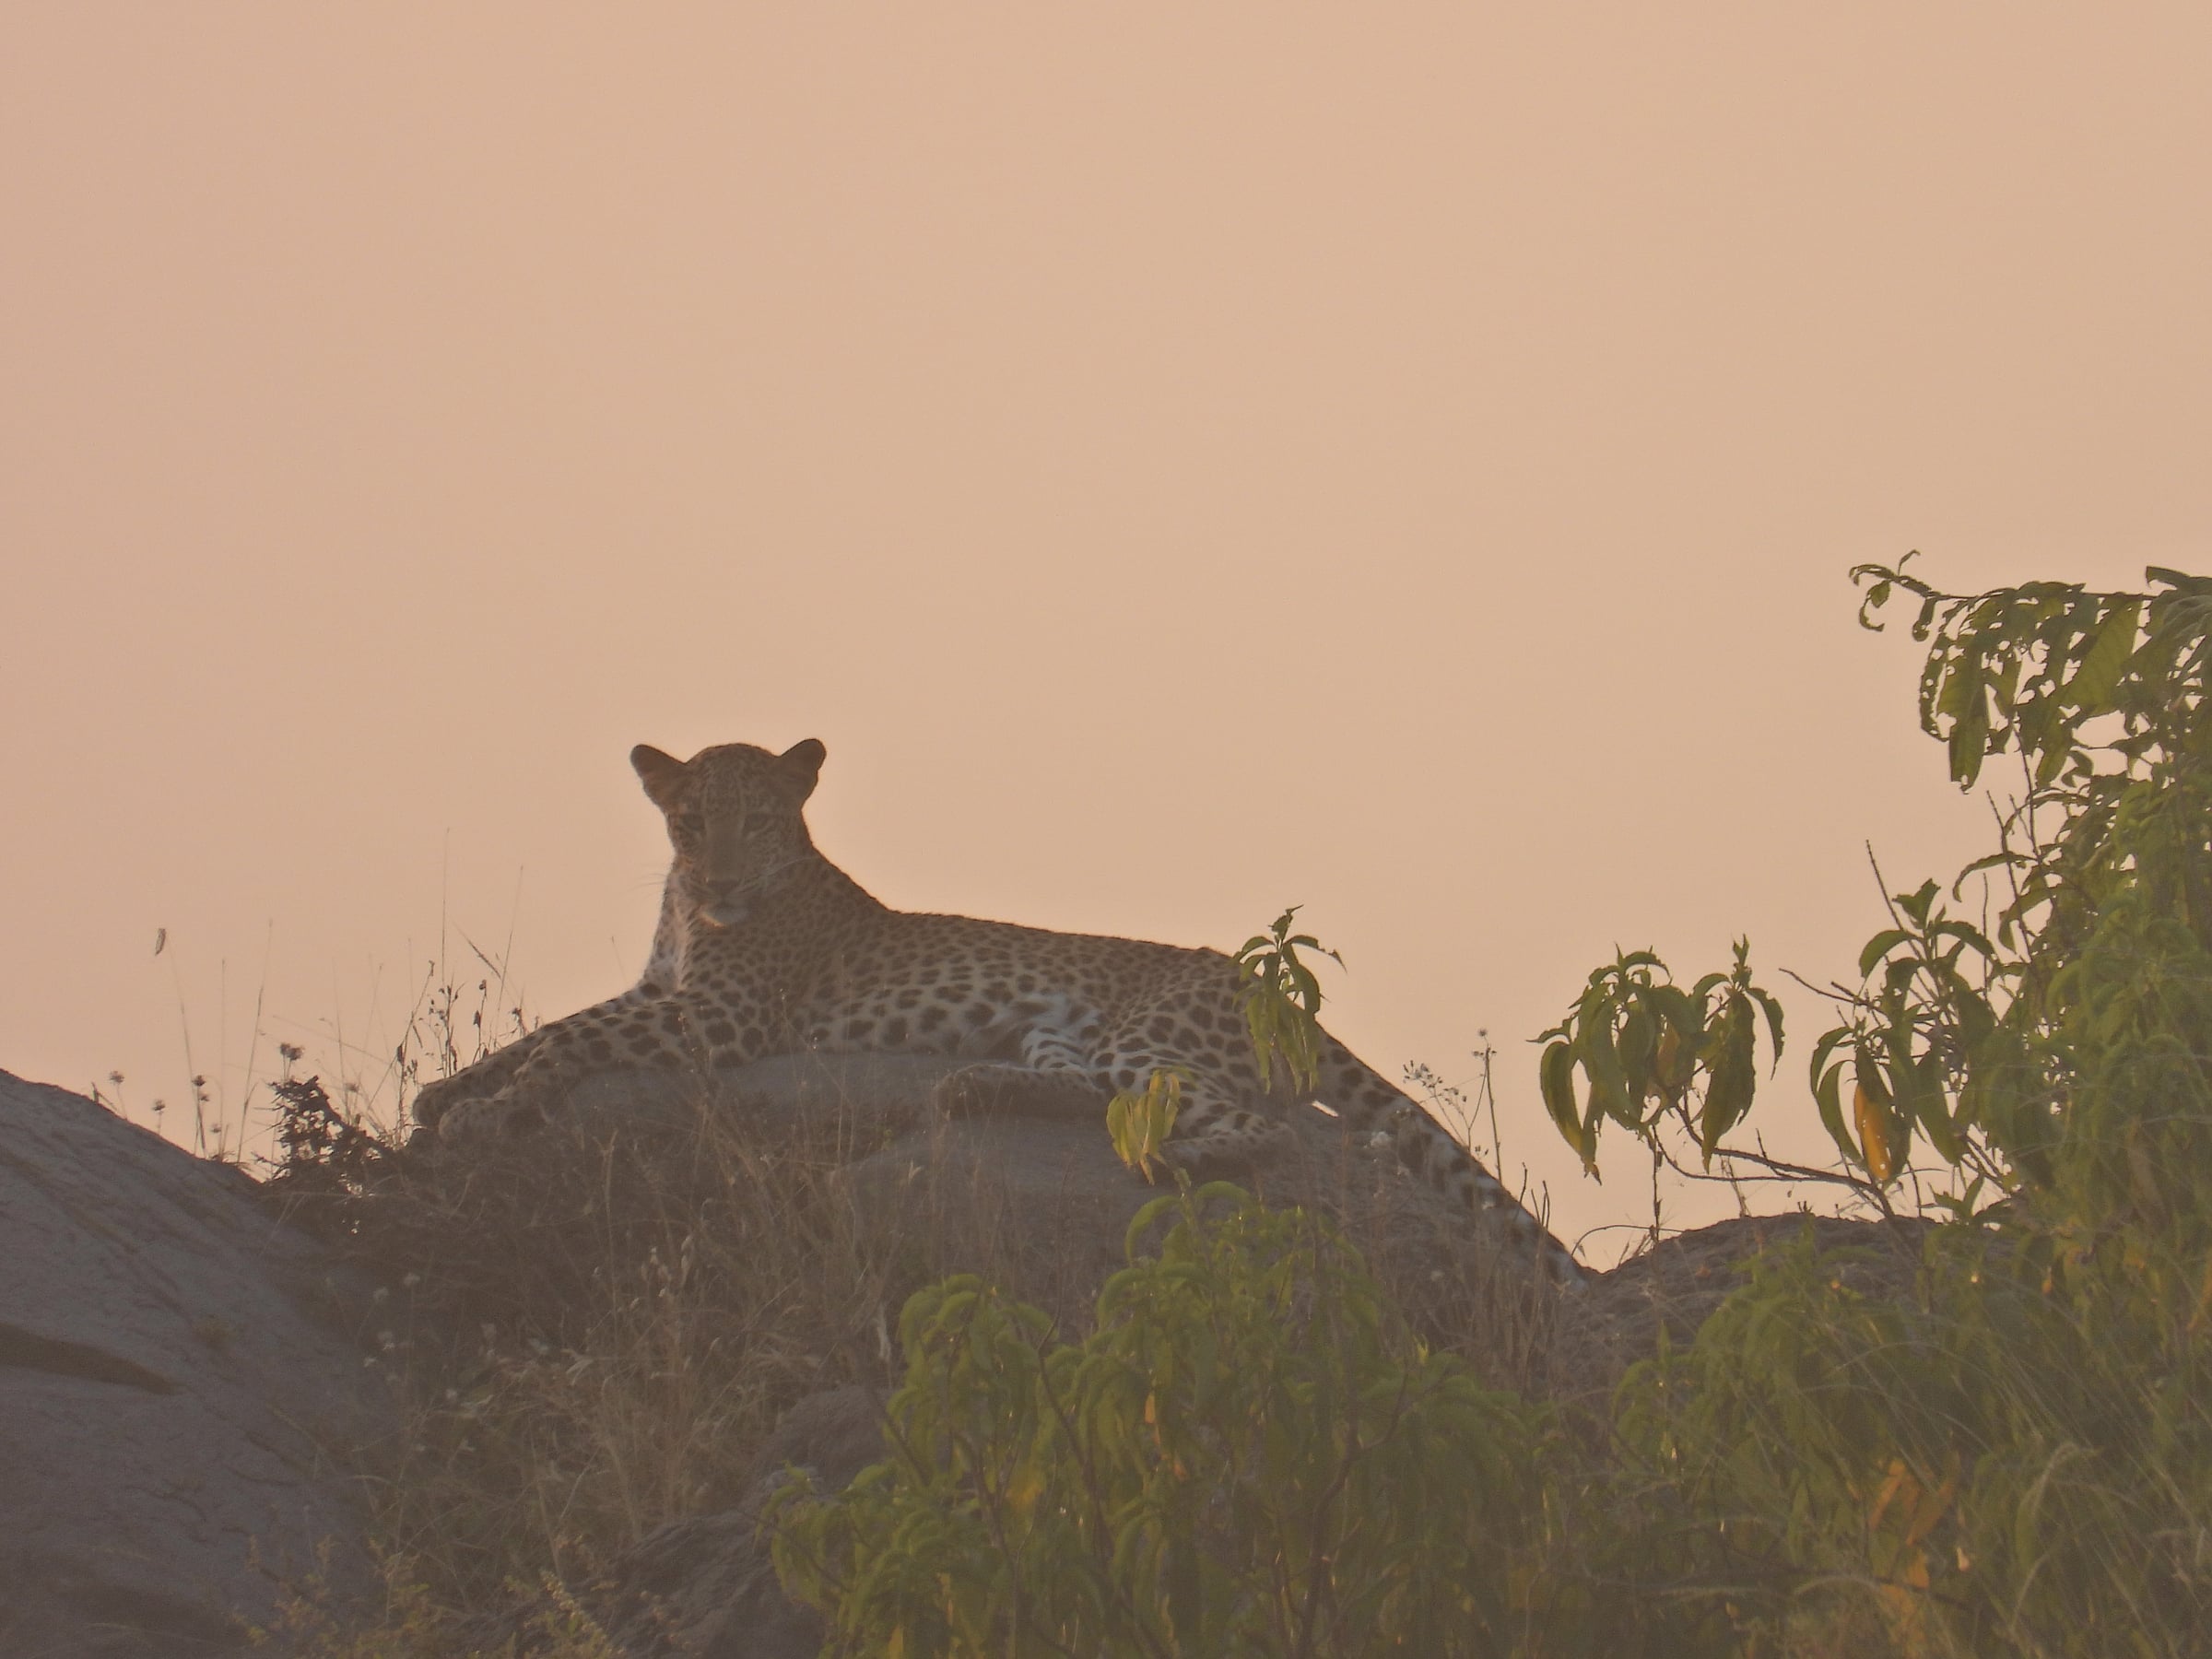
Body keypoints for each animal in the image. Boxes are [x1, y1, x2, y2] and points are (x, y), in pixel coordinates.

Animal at [411, 739, 1585, 1285]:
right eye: (690, 821)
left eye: (760, 820)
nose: (722, 883)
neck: (683, 910)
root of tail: (1263, 981)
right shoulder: (661, 993)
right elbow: (544, 1027)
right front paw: (445, 1092)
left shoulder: (722, 1019)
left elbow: (567, 1038)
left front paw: (482, 1116)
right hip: (1067, 1030)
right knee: (1080, 1088)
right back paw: (970, 1086)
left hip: (1148, 1036)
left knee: (1248, 1130)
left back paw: (1174, 1162)